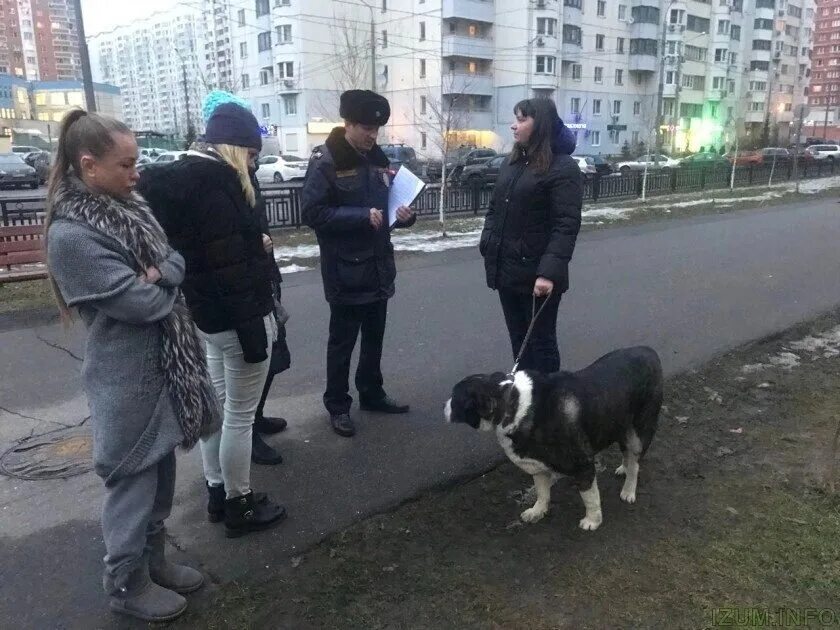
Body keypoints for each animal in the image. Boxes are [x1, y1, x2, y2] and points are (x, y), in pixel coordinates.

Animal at [446, 348, 664, 532]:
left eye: (455, 398)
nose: (444, 405)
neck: (511, 404)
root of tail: (650, 351)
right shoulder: (537, 465)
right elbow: (542, 491)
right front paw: (538, 511)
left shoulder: (583, 465)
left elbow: (590, 497)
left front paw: (593, 520)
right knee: (627, 454)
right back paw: (623, 467)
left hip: (638, 431)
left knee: (635, 462)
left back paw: (628, 489)